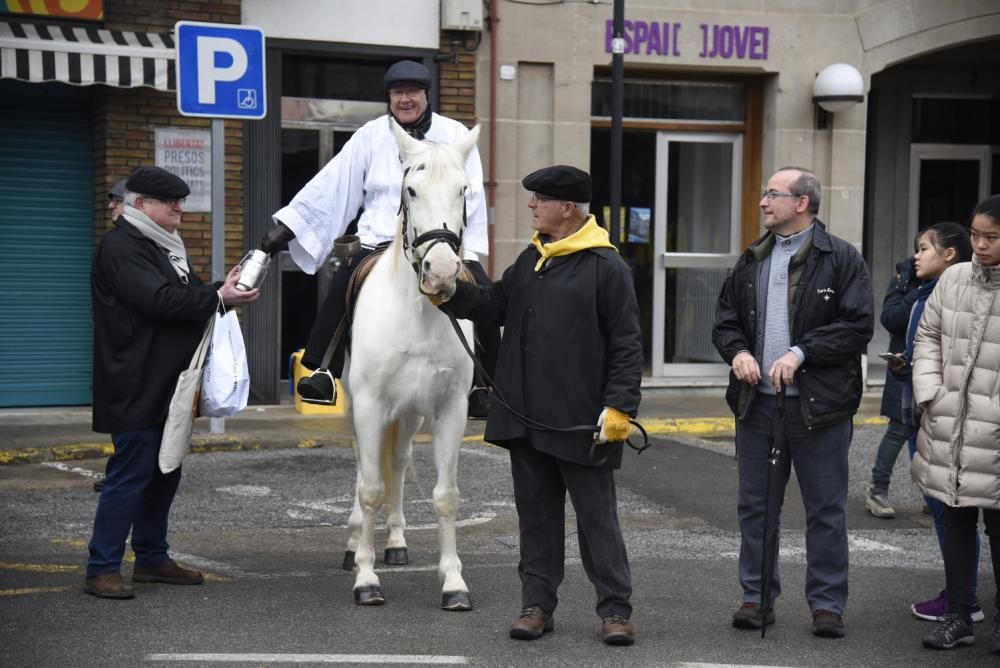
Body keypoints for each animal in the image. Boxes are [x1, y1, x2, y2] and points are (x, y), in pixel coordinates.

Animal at [340, 118, 480, 612]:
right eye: (412, 190)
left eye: (463, 190)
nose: (440, 272)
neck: (418, 312)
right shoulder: (369, 405)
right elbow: (369, 488)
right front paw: (365, 578)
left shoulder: (449, 409)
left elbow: (446, 497)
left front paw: (454, 582)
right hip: (364, 408)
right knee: (365, 467)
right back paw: (353, 544)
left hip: (410, 413)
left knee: (397, 462)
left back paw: (397, 541)